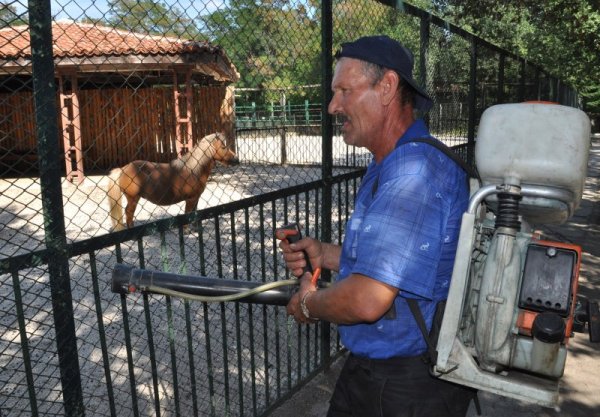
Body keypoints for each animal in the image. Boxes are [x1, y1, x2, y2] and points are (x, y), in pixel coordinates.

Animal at [106, 132, 238, 231]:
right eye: (223, 147)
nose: (236, 159)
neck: (193, 169)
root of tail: (124, 168)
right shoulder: (190, 199)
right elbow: (188, 213)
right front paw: (186, 230)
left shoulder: (196, 198)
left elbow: (195, 213)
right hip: (133, 198)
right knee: (129, 212)